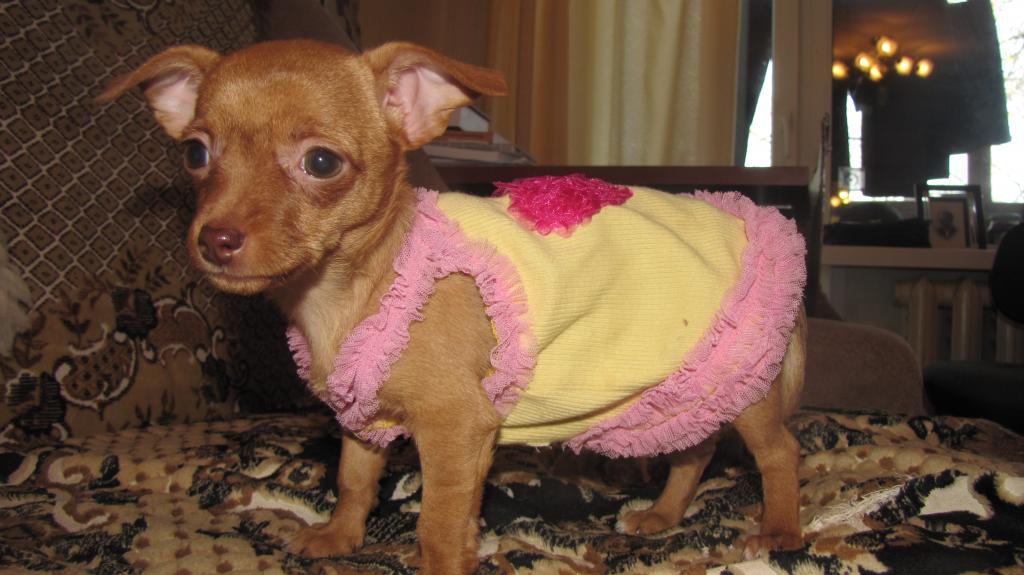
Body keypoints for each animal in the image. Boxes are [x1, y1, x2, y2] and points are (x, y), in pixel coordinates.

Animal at [99, 39, 806, 574]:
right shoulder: (367, 414)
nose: (214, 239)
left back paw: (778, 532)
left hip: (746, 377)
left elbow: (437, 520)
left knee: (778, 452)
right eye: (196, 153)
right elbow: (358, 477)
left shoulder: (455, 428)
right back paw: (662, 515)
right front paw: (340, 536)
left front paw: (439, 561)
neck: (357, 287)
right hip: (695, 382)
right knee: (696, 448)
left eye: (321, 162)